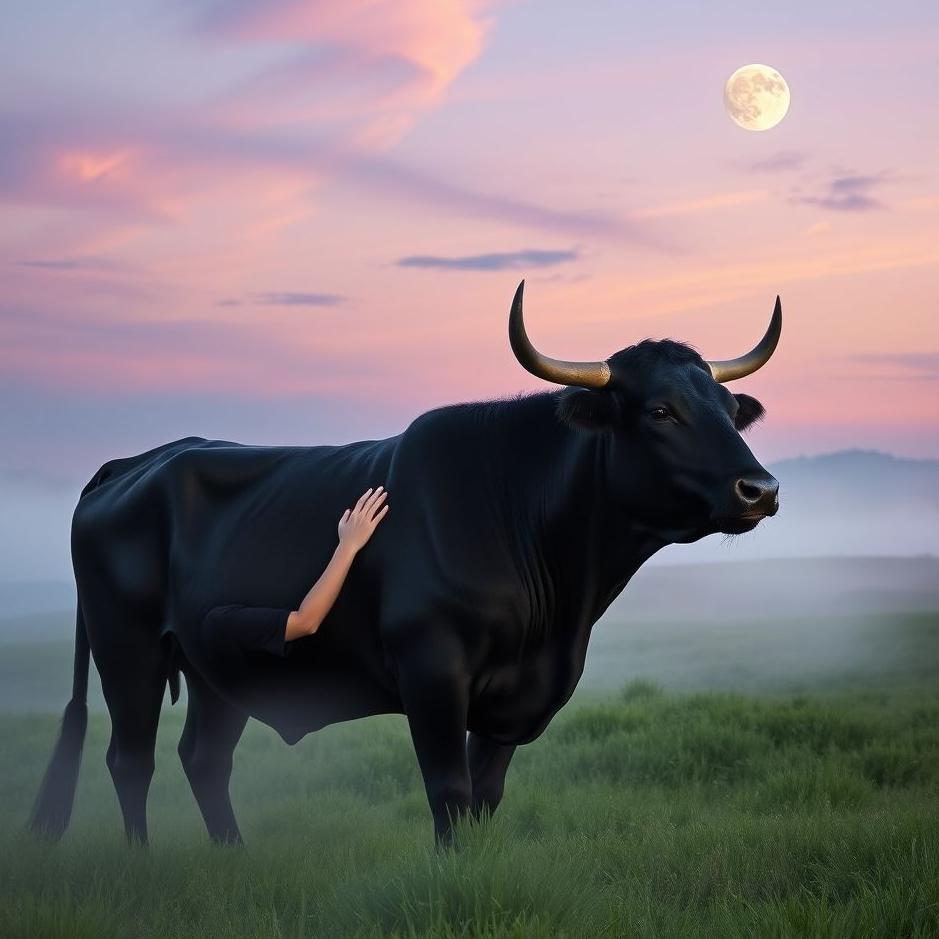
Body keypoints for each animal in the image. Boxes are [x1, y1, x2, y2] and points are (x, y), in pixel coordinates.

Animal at [29, 281, 781, 848]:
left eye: (727, 409)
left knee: (204, 757)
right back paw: (142, 860)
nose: (761, 488)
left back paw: (232, 857)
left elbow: (486, 795)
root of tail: (138, 460)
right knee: (130, 758)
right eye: (660, 410)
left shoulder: (512, 702)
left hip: (218, 665)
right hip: (126, 648)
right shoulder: (432, 673)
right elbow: (448, 792)